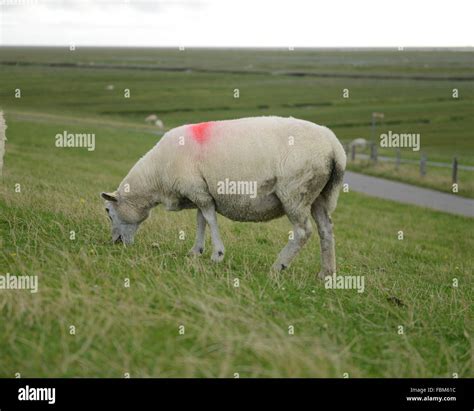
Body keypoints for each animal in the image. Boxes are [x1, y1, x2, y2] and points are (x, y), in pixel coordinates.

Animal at [102, 116, 346, 280]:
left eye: (108, 212)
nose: (115, 243)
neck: (156, 176)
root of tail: (334, 147)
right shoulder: (201, 190)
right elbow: (200, 220)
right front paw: (195, 252)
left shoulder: (197, 190)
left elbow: (210, 219)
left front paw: (217, 254)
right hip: (320, 196)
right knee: (326, 230)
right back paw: (326, 274)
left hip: (295, 192)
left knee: (303, 232)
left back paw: (278, 266)